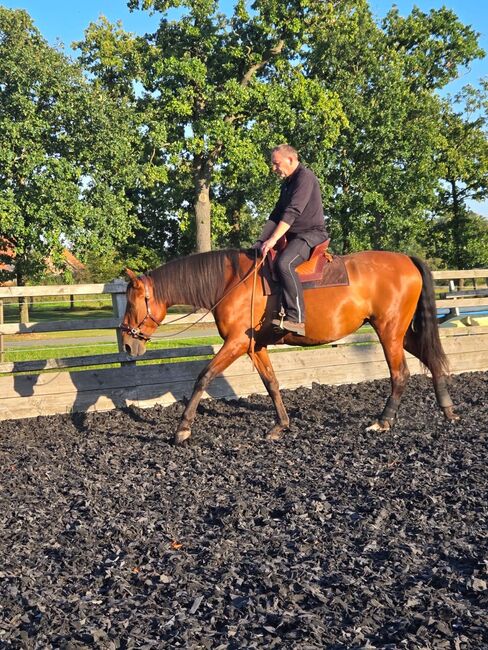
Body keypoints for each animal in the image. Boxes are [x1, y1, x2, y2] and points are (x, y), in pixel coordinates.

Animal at [120, 246, 460, 442]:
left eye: (133, 302)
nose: (125, 343)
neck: (231, 282)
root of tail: (406, 260)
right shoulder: (255, 347)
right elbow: (271, 383)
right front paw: (281, 425)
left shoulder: (236, 343)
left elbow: (203, 377)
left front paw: (182, 429)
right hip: (402, 333)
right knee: (431, 360)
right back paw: (447, 410)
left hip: (389, 332)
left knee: (400, 374)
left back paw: (383, 422)